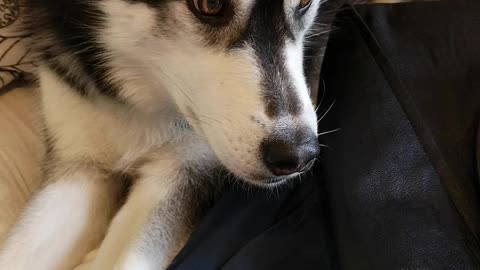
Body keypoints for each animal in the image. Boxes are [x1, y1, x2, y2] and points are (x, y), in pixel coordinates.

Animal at [0, 0, 326, 268]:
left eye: (304, 2)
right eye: (210, 4)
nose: (296, 154)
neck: (139, 99)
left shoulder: (183, 169)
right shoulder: (81, 163)